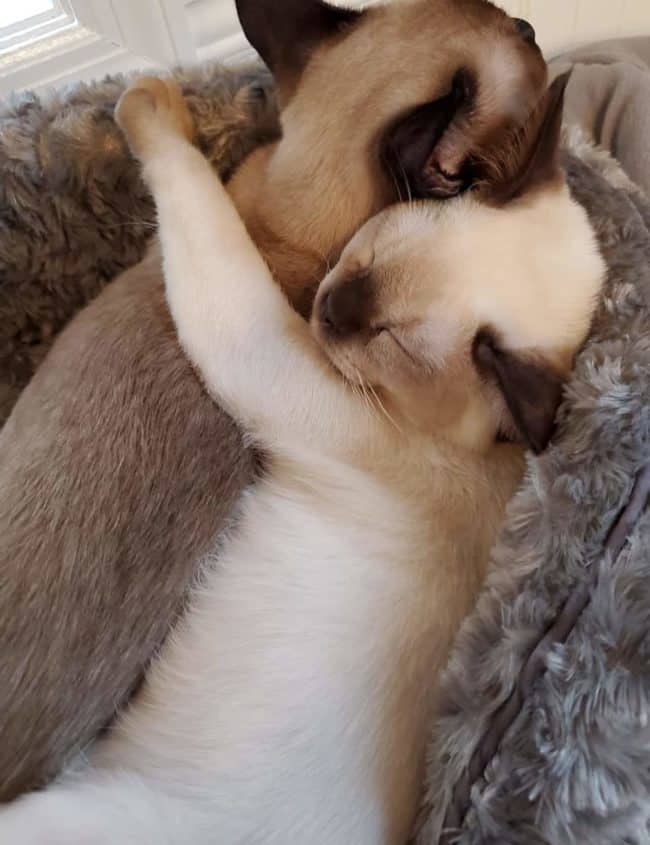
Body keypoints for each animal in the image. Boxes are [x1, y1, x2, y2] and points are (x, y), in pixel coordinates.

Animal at [0, 76, 604, 840]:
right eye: (367, 253)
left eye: (388, 340)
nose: (328, 307)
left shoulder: (259, 346)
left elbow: (196, 197)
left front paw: (154, 102)